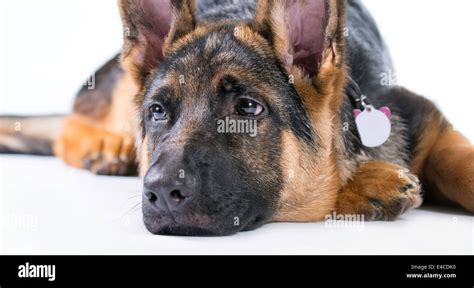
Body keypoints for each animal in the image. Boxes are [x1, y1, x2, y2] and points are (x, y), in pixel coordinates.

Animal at [0, 0, 472, 235]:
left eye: (247, 108)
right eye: (158, 112)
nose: (160, 192)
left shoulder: (429, 123)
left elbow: (460, 163)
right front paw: (365, 183)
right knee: (70, 123)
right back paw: (105, 146)